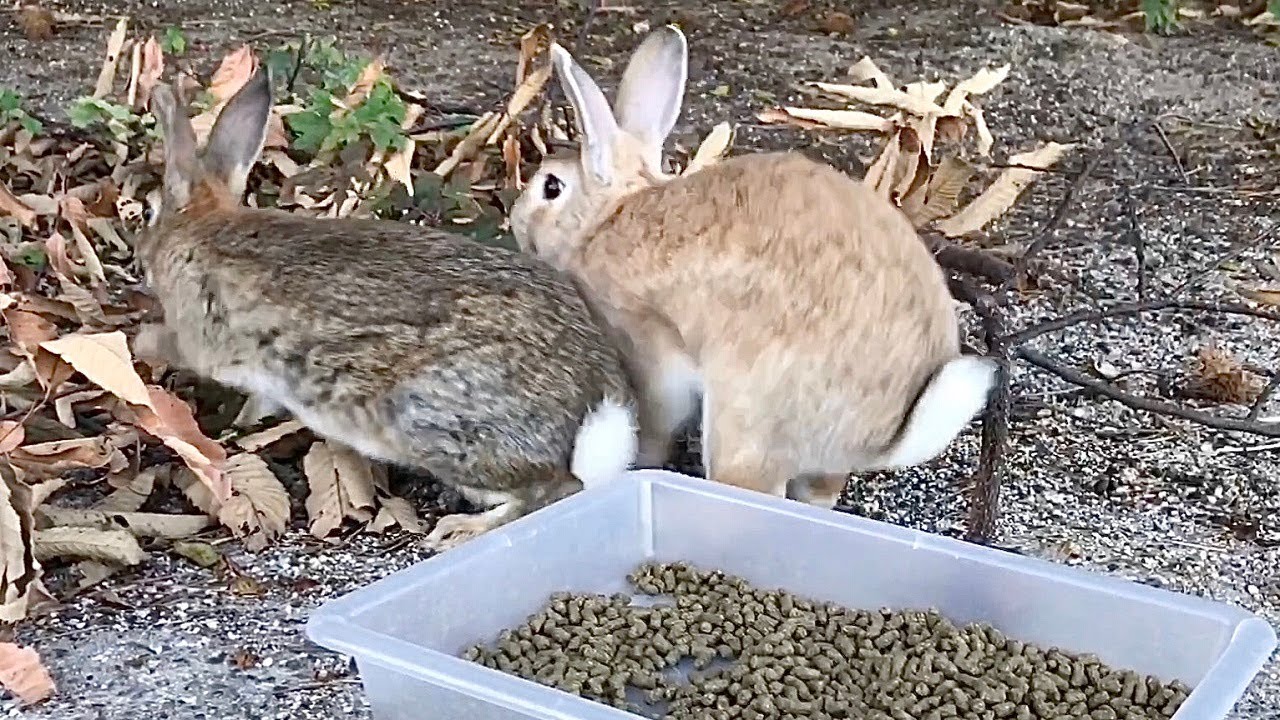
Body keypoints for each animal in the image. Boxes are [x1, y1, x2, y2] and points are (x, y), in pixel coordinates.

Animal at [140, 67, 638, 551]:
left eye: (148, 212)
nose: (139, 251)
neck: (200, 226)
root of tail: (591, 419)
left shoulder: (201, 339)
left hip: (429, 424)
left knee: (547, 492)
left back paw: (460, 529)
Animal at [509, 26, 998, 509]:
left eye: (551, 187)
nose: (514, 221)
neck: (607, 215)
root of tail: (877, 439)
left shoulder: (646, 346)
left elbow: (656, 420)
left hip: (742, 421)